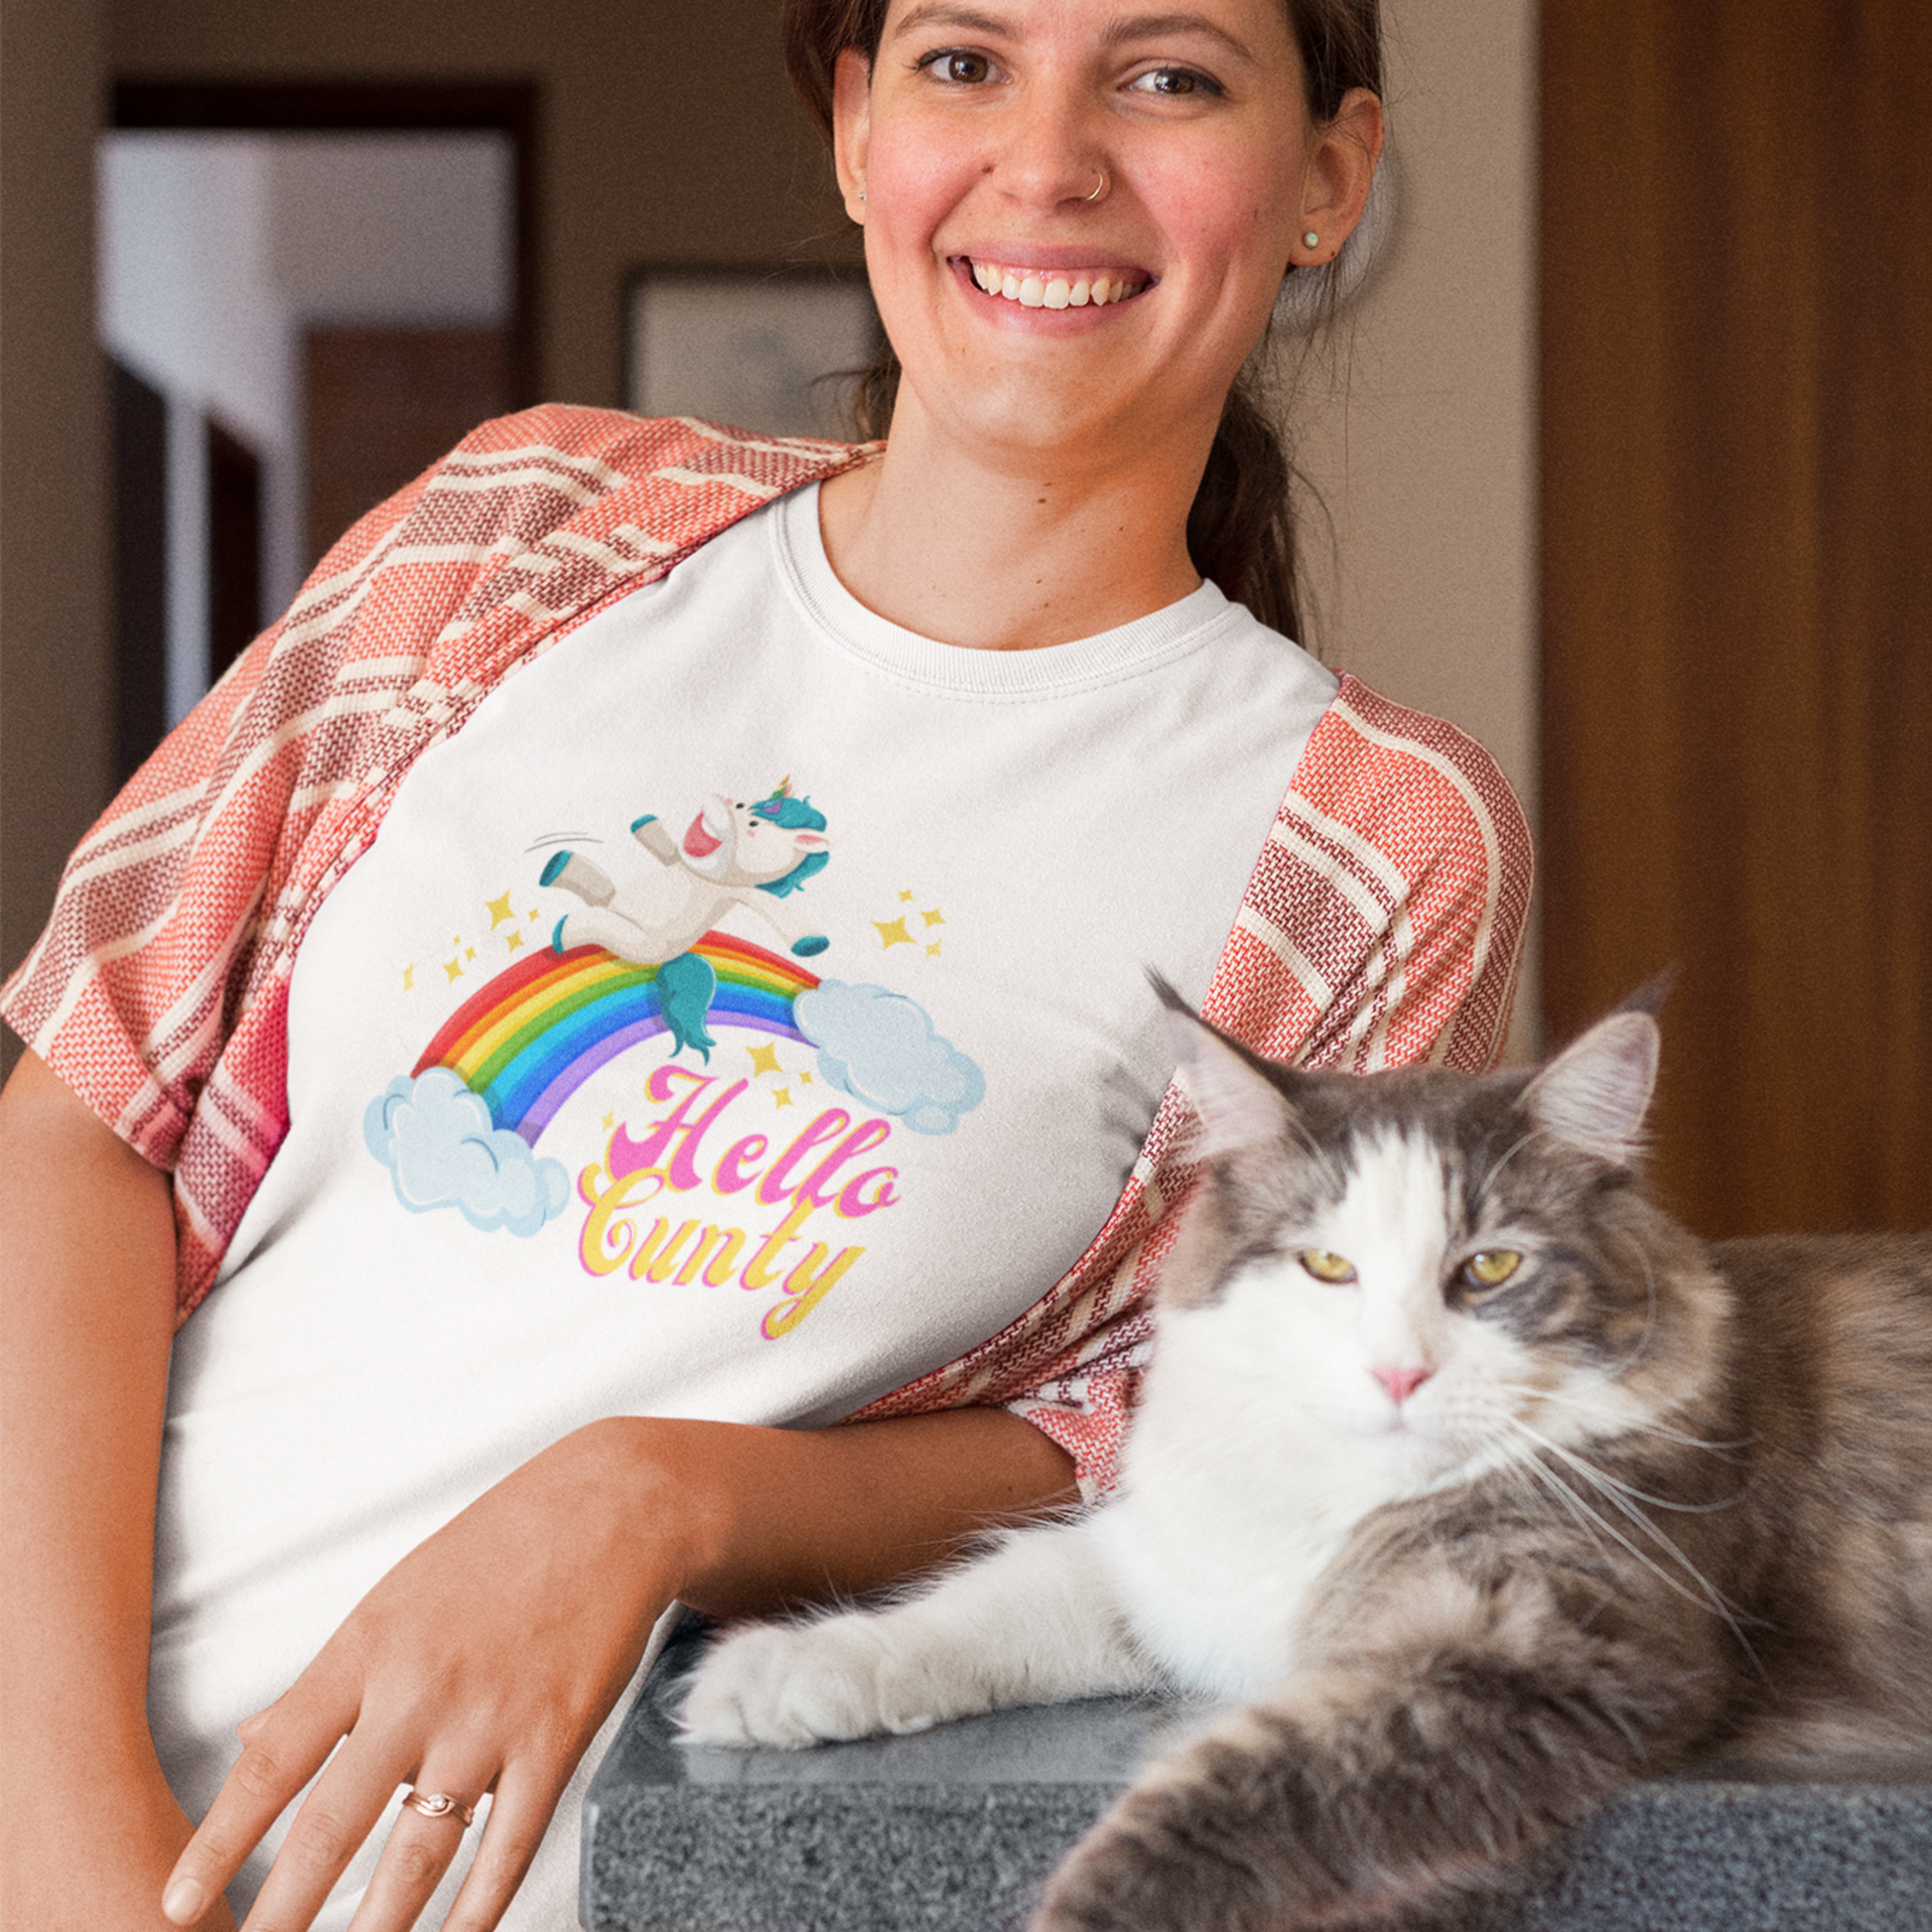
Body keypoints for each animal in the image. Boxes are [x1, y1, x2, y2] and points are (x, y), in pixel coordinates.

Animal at [683, 997, 1932, 1932]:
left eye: (1488, 1269)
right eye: (1327, 1265)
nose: (1396, 1373)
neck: (1338, 1501)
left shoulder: (1513, 1649)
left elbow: (1223, 1792)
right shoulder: (1171, 1569)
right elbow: (975, 1603)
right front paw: (781, 1672)